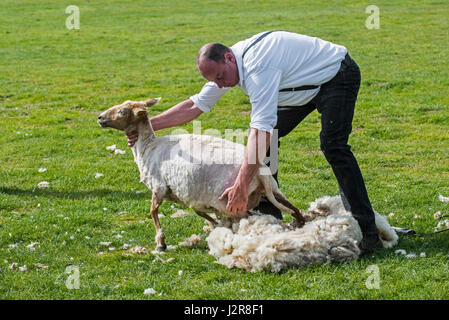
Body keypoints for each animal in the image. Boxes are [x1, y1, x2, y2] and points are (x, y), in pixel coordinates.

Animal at [96, 97, 302, 250]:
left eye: (123, 111)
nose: (99, 117)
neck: (147, 147)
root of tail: (261, 173)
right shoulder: (193, 195)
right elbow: (199, 211)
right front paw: (215, 224)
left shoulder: (159, 186)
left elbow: (153, 211)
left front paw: (161, 242)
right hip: (273, 190)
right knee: (294, 209)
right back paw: (299, 225)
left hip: (230, 201)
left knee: (249, 218)